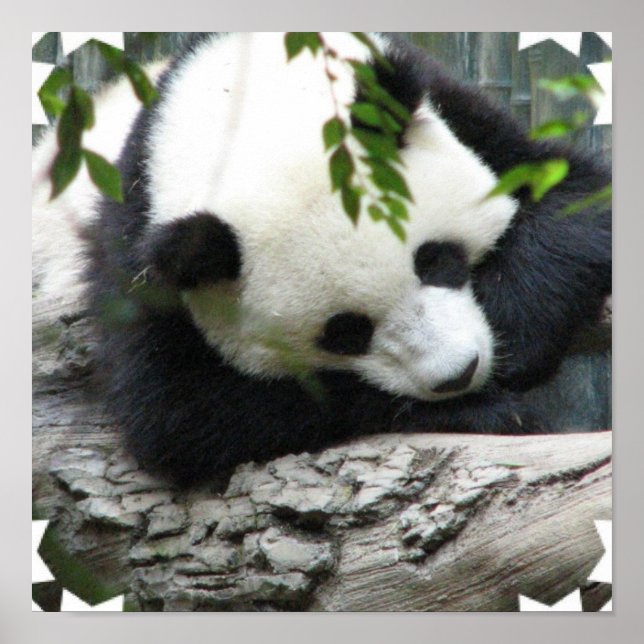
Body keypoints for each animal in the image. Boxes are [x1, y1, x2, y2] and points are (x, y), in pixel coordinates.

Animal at [33, 32, 611, 486]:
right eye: (346, 331)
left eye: (436, 260)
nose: (457, 374)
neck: (243, 107)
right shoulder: (139, 249)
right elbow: (185, 414)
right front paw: (485, 411)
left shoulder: (462, 113)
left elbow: (578, 200)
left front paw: (513, 338)